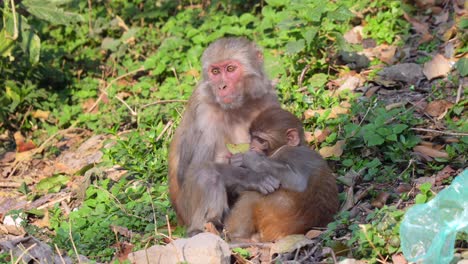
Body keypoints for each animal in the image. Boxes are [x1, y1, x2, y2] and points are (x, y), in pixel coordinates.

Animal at [226, 106, 338, 241]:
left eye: (260, 140)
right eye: (253, 138)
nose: (252, 147)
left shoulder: (291, 154)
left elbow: (297, 182)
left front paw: (249, 158)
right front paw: (236, 161)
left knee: (253, 194)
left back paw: (236, 236)